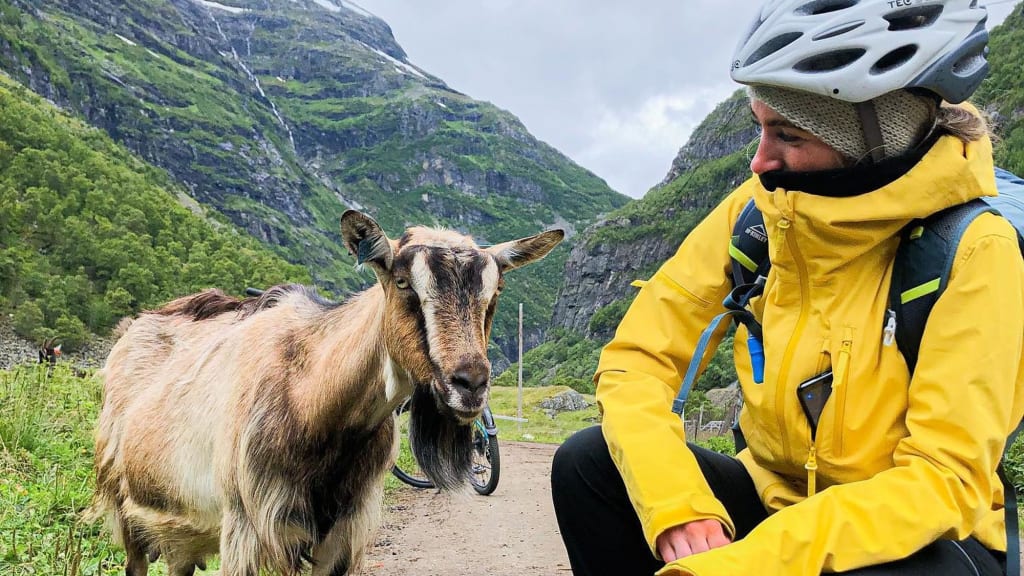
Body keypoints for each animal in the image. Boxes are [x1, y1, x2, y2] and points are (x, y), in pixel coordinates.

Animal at [90, 209, 563, 576]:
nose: (470, 384)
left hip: (181, 533)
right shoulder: (247, 528)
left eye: (496, 289)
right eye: (402, 282)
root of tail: (132, 329)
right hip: (125, 507)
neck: (312, 402)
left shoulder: (343, 535)